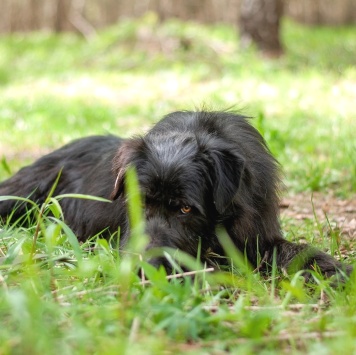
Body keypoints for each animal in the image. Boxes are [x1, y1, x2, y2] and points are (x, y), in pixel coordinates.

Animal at [0, 111, 352, 278]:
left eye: (185, 209)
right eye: (141, 203)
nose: (142, 268)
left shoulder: (259, 235)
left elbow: (296, 251)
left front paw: (335, 272)